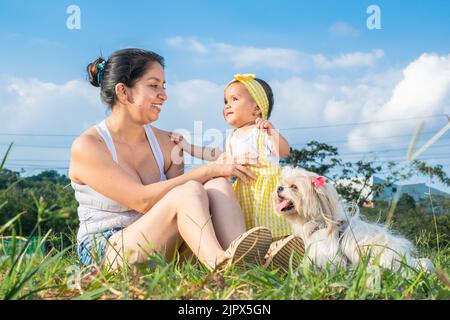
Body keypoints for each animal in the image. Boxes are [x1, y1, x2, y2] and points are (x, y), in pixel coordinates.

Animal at [272, 165, 434, 272]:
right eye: (282, 184)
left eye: (294, 187)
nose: (279, 188)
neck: (320, 221)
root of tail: (408, 262)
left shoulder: (327, 253)